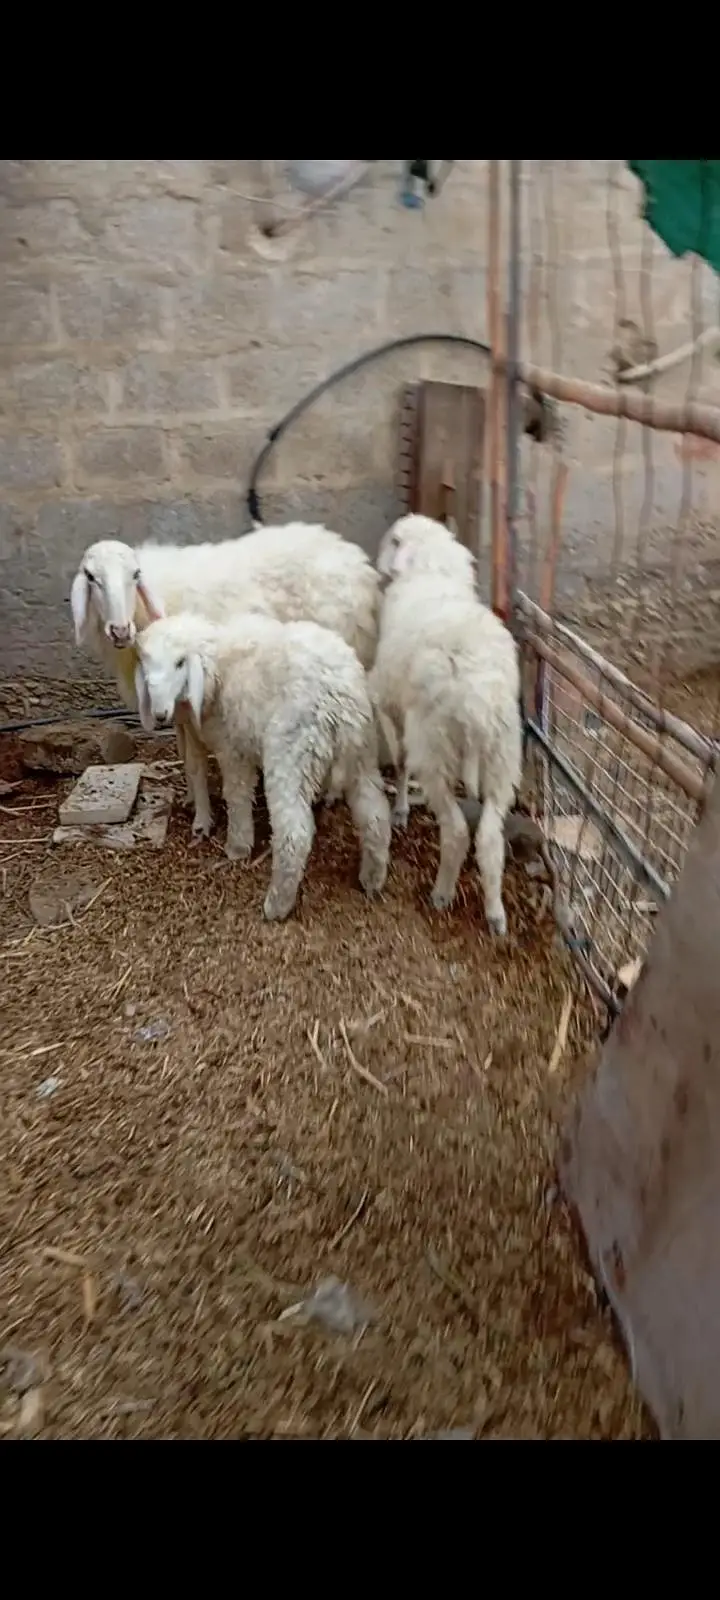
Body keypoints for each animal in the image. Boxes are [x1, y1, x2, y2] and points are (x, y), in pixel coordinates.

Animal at [69, 523, 381, 836]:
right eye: (91, 577)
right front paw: (191, 799)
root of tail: (353, 557)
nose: (120, 631)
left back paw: (332, 791)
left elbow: (196, 761)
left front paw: (202, 820)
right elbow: (185, 754)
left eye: (135, 574)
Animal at [134, 610, 392, 923]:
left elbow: (237, 796)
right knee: (375, 815)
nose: (160, 714)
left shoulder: (233, 750)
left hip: (291, 752)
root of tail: (338, 697)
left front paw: (237, 846)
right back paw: (372, 879)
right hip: (361, 753)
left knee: (294, 834)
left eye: (180, 662)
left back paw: (276, 905)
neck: (218, 665)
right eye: (146, 665)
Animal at [369, 513, 522, 938]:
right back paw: (496, 913)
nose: (380, 567)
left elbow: (401, 760)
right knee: (489, 838)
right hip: (502, 755)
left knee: (455, 831)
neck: (429, 572)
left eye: (392, 541)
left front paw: (401, 809)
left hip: (435, 745)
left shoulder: (393, 705)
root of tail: (476, 694)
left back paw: (441, 893)